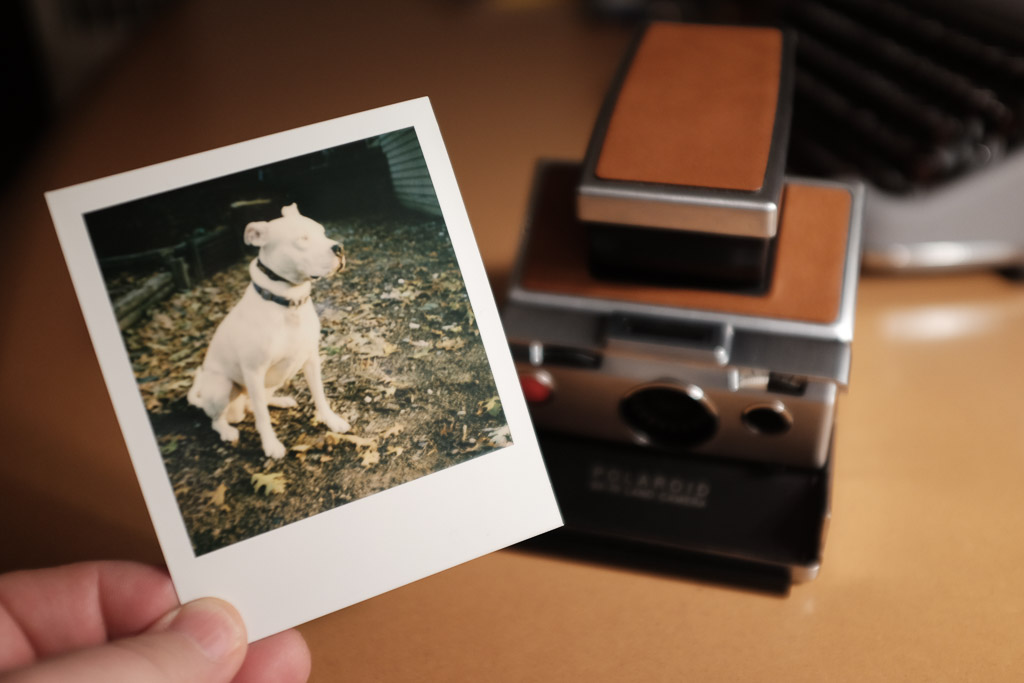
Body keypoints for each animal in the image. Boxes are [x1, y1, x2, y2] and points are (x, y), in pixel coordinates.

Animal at [189, 202, 352, 458]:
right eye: (302, 239)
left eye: (322, 232)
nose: (339, 248)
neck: (288, 302)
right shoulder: (254, 371)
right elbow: (262, 418)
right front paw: (271, 445)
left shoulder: (311, 359)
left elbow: (320, 395)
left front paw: (331, 420)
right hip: (221, 386)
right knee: (219, 419)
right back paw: (227, 431)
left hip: (275, 379)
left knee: (258, 403)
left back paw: (281, 401)